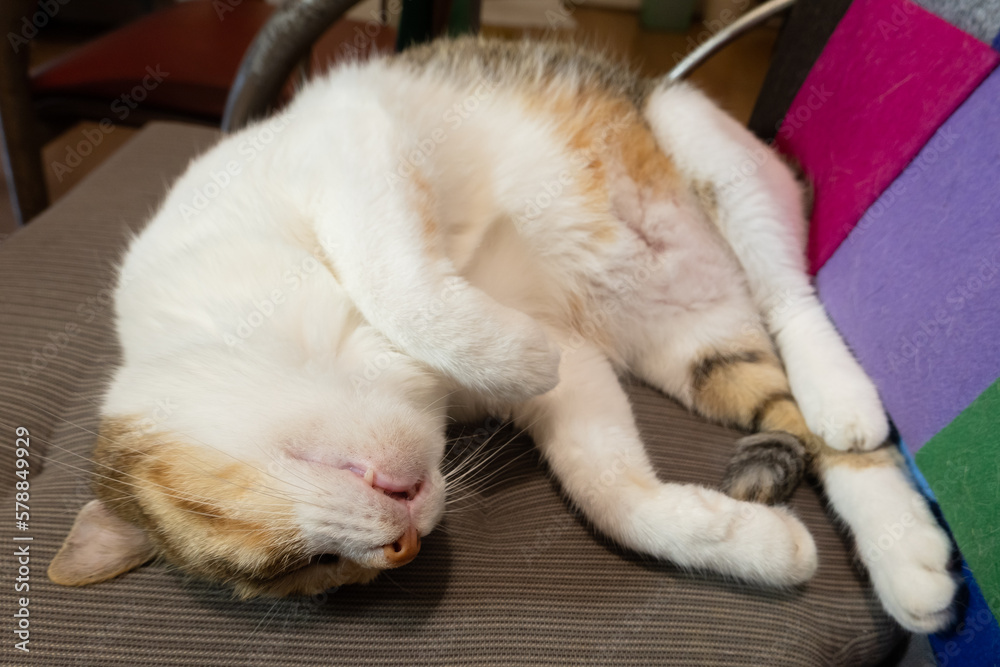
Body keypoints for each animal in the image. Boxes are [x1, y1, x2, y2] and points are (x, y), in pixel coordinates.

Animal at [50, 37, 956, 636]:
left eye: (285, 559)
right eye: (318, 572)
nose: (402, 544)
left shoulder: (349, 144)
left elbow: (398, 280)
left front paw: (513, 348)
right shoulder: (577, 377)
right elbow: (614, 496)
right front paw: (755, 545)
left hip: (703, 145)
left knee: (793, 297)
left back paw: (843, 393)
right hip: (701, 349)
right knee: (793, 409)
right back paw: (909, 560)